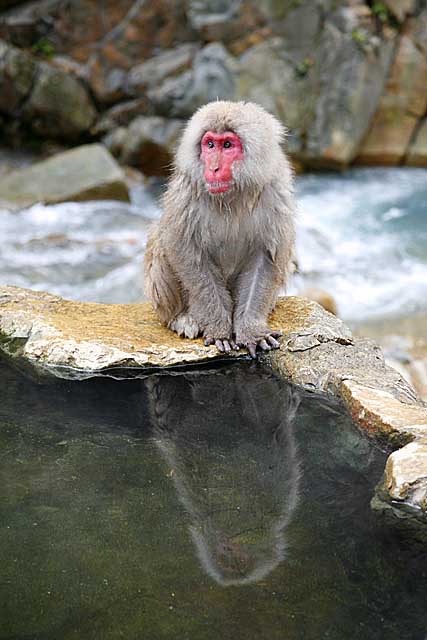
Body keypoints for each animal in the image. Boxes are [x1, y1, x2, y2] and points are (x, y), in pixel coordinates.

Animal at [145, 102, 296, 358]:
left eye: (227, 145)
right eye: (210, 144)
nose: (213, 168)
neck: (232, 196)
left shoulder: (276, 193)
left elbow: (266, 257)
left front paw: (251, 331)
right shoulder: (187, 192)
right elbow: (187, 253)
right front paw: (219, 330)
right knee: (160, 239)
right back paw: (181, 318)